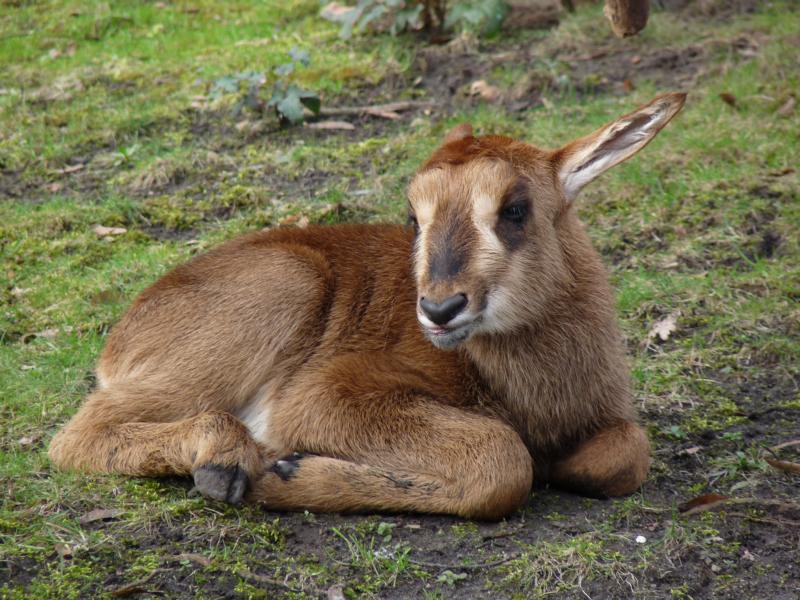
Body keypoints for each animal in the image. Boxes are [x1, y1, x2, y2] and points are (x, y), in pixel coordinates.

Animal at [49, 93, 686, 520]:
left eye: (514, 207)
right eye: (414, 216)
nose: (440, 309)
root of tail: (123, 335)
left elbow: (625, 455)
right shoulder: (323, 394)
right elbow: (503, 459)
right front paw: (282, 471)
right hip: (278, 295)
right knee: (77, 434)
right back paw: (229, 460)